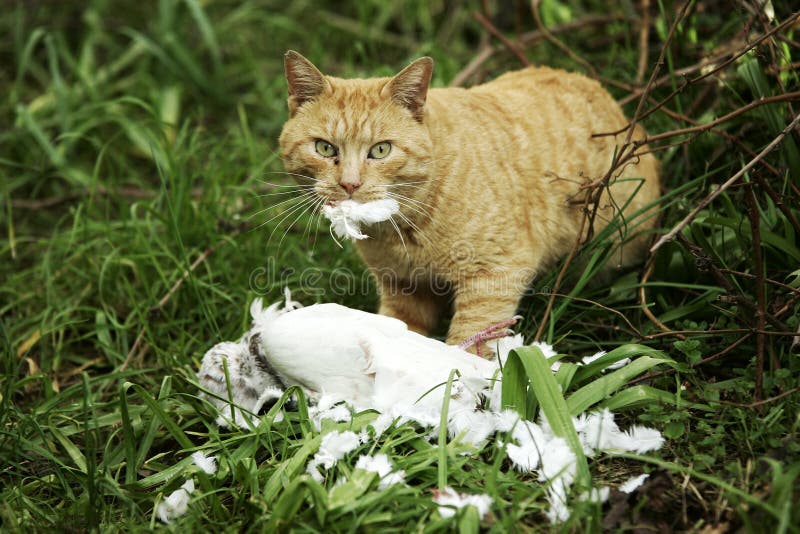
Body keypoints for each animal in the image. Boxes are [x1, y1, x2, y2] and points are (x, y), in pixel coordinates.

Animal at [278, 51, 660, 356]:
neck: (403, 228)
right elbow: (398, 331)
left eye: (381, 150)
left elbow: (471, 342)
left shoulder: (494, 274)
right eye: (325, 147)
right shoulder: (403, 287)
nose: (350, 184)